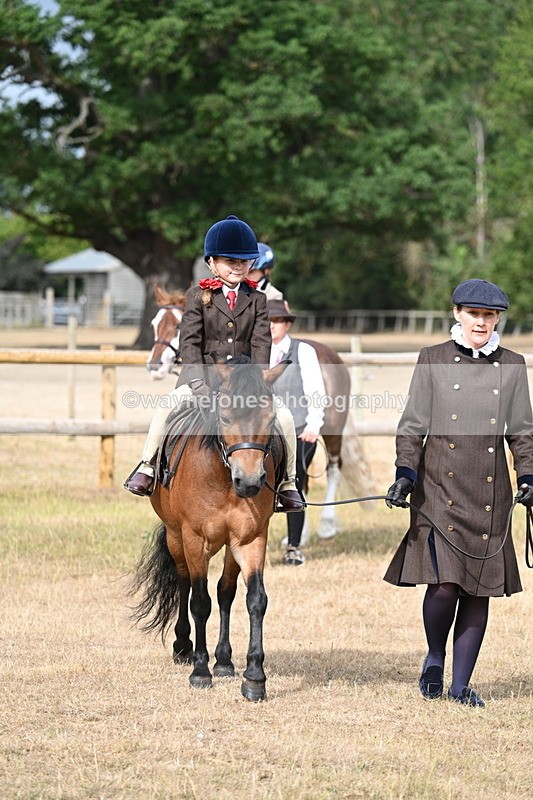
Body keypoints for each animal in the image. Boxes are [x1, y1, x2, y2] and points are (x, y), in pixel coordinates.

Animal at [130, 356, 289, 701]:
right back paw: (183, 647)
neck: (223, 477)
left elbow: (255, 599)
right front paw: (200, 671)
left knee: (225, 591)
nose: (250, 482)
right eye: (225, 417)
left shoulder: (250, 539)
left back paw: (225, 661)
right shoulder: (194, 538)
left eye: (270, 419)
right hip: (176, 537)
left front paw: (254, 678)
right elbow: (199, 602)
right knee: (184, 582)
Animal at [146, 286, 374, 540]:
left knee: (334, 468)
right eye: (154, 323)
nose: (154, 366)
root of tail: (332, 355)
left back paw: (326, 525)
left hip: (333, 428)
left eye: (177, 325)